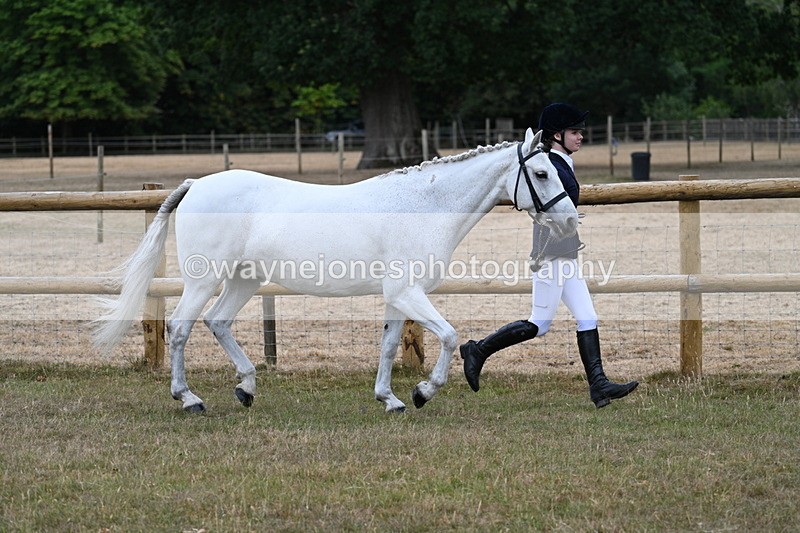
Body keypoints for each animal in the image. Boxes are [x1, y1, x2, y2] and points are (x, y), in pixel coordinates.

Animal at [93, 128, 578, 413]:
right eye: (541, 172)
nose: (571, 220)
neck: (423, 207)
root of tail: (197, 185)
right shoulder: (408, 293)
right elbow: (448, 336)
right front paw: (423, 392)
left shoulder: (397, 297)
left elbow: (388, 346)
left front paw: (390, 399)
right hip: (205, 278)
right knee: (179, 327)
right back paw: (188, 398)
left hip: (244, 279)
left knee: (219, 322)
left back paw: (246, 388)